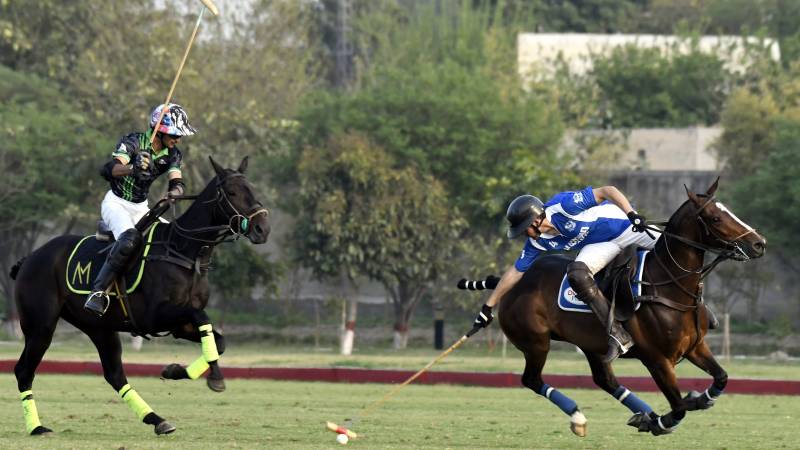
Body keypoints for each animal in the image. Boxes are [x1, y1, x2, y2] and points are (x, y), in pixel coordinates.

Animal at [9, 156, 270, 434]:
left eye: (252, 188)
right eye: (231, 192)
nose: (262, 228)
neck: (184, 252)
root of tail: (30, 258)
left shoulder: (179, 325)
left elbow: (217, 340)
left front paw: (174, 371)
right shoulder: (155, 317)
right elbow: (202, 317)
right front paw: (216, 379)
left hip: (100, 328)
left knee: (114, 374)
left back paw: (157, 419)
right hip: (41, 326)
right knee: (24, 370)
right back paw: (37, 427)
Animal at [462, 179, 768, 436]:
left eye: (728, 211)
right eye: (715, 218)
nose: (759, 243)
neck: (668, 285)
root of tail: (508, 285)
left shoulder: (695, 346)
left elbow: (721, 378)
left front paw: (698, 399)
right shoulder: (657, 359)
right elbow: (678, 407)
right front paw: (662, 421)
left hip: (590, 345)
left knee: (604, 380)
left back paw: (642, 412)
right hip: (535, 342)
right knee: (532, 379)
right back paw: (581, 417)